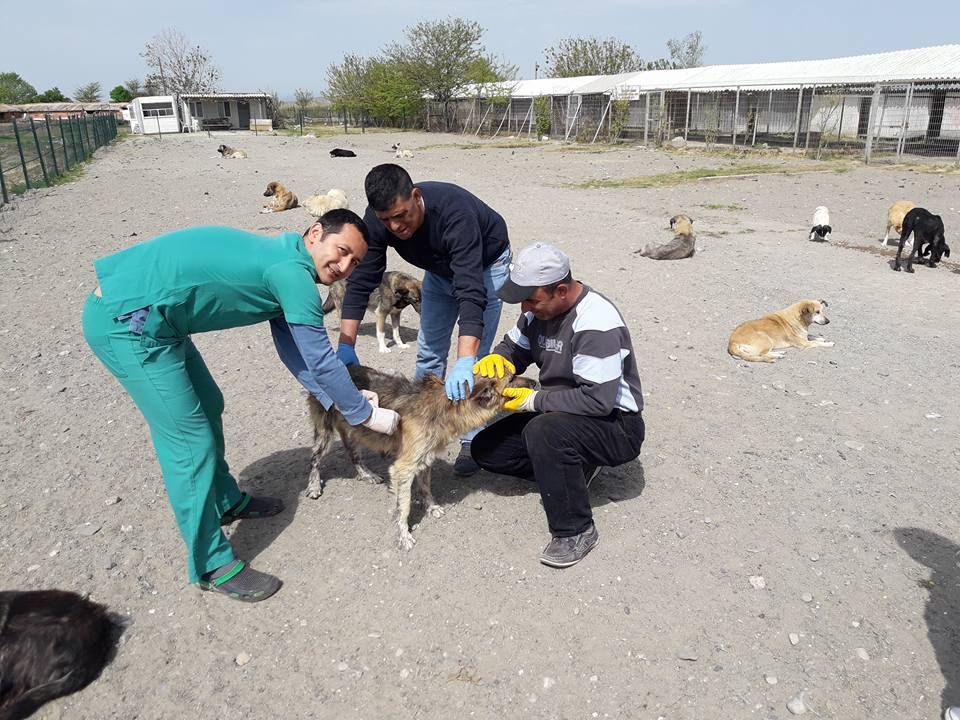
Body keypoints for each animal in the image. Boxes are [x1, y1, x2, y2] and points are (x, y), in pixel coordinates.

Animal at [306, 366, 536, 552]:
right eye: (512, 378)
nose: (535, 383)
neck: (446, 406)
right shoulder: (403, 468)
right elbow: (403, 506)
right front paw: (404, 535)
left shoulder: (425, 459)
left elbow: (425, 488)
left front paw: (431, 507)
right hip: (325, 431)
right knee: (315, 458)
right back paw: (314, 485)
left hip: (354, 428)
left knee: (352, 452)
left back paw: (366, 474)